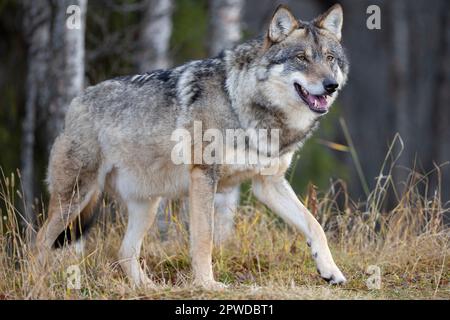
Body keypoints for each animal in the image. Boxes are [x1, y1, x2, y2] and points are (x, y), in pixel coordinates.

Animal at [37, 3, 350, 288]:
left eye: (330, 58)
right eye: (301, 58)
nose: (331, 85)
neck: (243, 103)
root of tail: (76, 101)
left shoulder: (268, 183)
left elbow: (314, 225)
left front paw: (331, 271)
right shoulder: (204, 175)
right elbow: (204, 238)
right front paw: (207, 285)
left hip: (146, 204)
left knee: (124, 251)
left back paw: (150, 288)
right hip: (76, 197)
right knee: (40, 240)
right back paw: (38, 281)